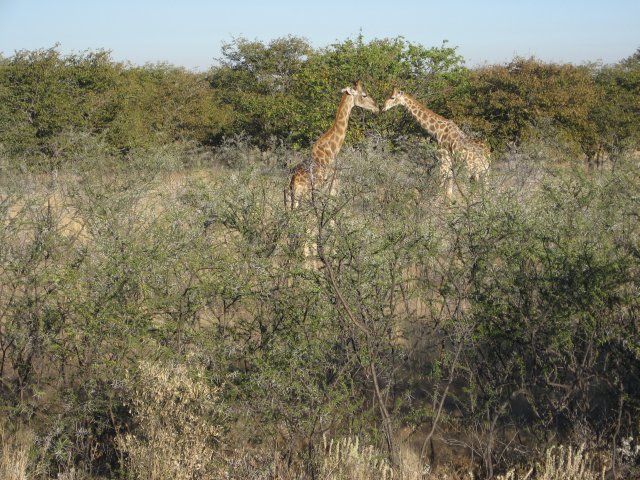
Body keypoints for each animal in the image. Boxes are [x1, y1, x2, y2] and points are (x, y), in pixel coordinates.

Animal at [286, 79, 380, 209]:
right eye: (364, 95)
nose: (377, 108)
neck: (330, 151)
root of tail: (293, 183)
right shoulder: (331, 189)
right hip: (305, 198)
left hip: (288, 200)